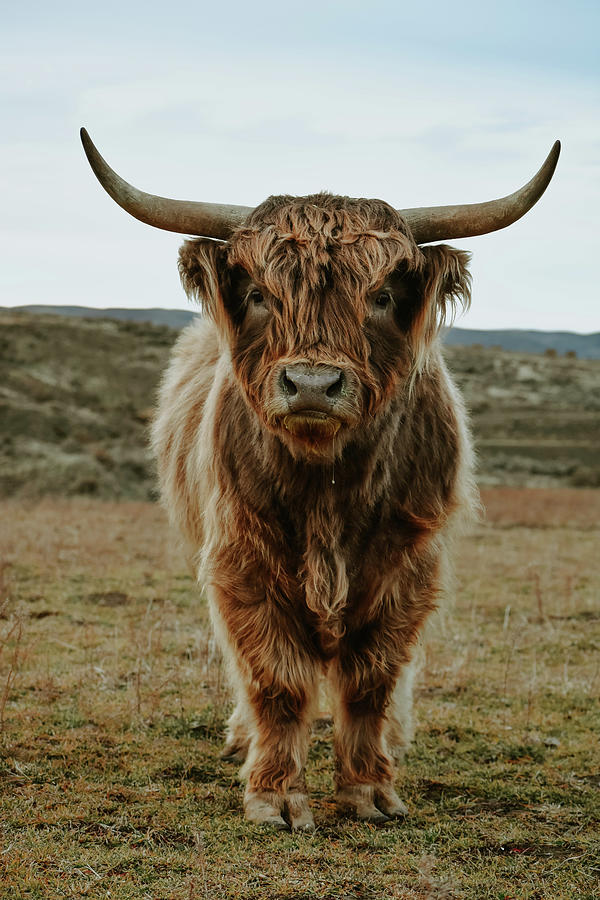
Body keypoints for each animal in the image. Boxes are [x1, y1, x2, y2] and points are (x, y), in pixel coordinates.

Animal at [82, 132, 560, 828]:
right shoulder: (242, 559)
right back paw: (241, 737)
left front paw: (370, 788)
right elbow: (274, 679)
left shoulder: (409, 564)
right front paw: (274, 793)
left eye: (382, 296)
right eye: (258, 293)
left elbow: (373, 678)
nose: (311, 384)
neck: (328, 488)